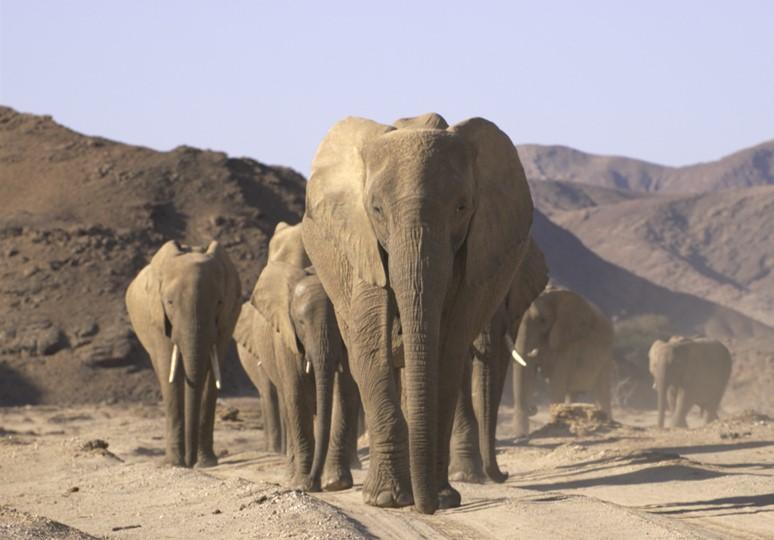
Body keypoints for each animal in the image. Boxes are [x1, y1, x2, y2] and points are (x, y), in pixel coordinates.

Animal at [125, 240, 241, 467]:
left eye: (219, 302)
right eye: (169, 302)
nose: (191, 461)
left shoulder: (227, 319)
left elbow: (211, 377)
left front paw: (206, 464)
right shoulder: (158, 320)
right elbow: (168, 374)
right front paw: (174, 464)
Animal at [233, 222, 360, 492]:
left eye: (338, 321)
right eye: (300, 322)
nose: (313, 483)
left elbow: (343, 393)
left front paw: (335, 484)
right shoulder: (285, 338)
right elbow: (296, 395)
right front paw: (302, 483)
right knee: (286, 400)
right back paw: (290, 474)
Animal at [512, 288, 614, 437]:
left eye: (543, 320)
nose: (533, 407)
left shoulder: (568, 342)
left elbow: (557, 382)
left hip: (606, 358)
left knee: (602, 392)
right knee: (573, 393)